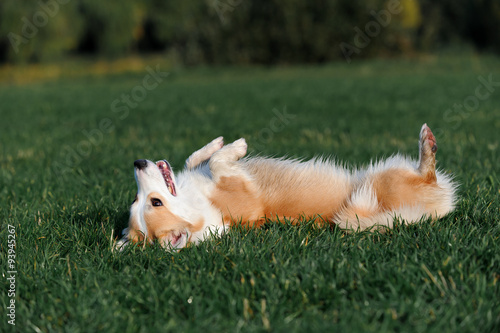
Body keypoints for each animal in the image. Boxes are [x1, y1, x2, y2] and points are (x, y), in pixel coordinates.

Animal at [116, 124, 458, 249]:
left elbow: (198, 158)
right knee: (427, 172)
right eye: (156, 202)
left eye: (142, 200)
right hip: (388, 180)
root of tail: (433, 211)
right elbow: (217, 164)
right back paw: (427, 144)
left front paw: (217, 143)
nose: (136, 162)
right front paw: (238, 146)